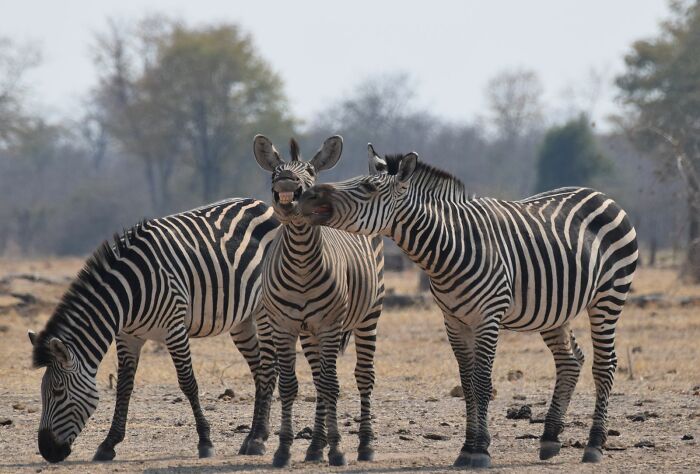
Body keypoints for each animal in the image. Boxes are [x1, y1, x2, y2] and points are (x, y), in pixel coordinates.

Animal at [28, 197, 279, 463]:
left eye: (58, 392)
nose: (47, 451)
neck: (128, 294)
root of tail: (261, 203)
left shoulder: (174, 329)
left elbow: (188, 383)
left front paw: (205, 441)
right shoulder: (127, 336)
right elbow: (123, 387)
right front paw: (108, 444)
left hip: (264, 309)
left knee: (268, 369)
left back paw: (258, 439)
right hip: (242, 320)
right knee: (259, 371)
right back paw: (252, 437)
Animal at [252, 135, 384, 467]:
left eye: (310, 171)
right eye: (275, 172)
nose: (287, 181)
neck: (300, 260)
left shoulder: (330, 325)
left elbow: (331, 385)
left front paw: (337, 449)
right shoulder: (283, 326)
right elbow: (291, 386)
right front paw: (284, 449)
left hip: (368, 316)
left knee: (363, 377)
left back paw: (365, 445)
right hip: (309, 332)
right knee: (317, 379)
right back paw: (314, 447)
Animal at [299, 145, 638, 468]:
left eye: (368, 187)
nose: (307, 195)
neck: (451, 247)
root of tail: (600, 195)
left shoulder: (488, 317)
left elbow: (482, 382)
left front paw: (482, 451)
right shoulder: (454, 320)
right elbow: (466, 382)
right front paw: (467, 449)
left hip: (609, 296)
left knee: (605, 364)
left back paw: (594, 445)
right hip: (555, 310)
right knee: (570, 361)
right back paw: (550, 438)